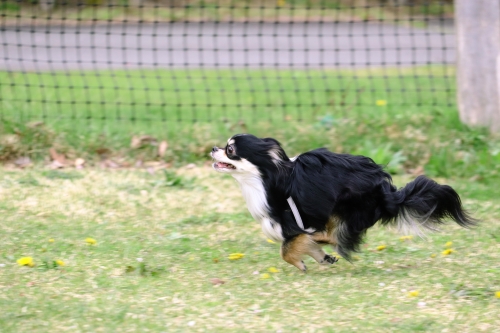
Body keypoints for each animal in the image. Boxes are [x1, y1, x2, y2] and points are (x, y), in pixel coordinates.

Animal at [209, 134, 474, 272]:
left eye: (230, 149)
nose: (213, 148)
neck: (265, 179)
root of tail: (386, 190)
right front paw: (320, 257)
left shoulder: (293, 222)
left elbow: (286, 248)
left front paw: (300, 261)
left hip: (346, 204)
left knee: (335, 235)